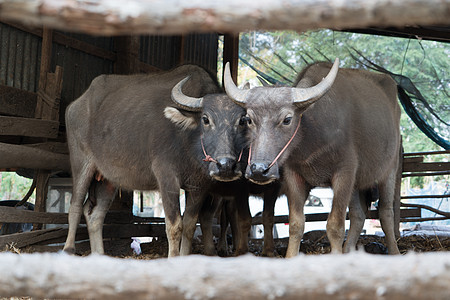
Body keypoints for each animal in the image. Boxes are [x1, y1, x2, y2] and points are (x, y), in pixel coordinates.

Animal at [224, 59, 400, 256]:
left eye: (287, 119)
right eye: (248, 119)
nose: (258, 170)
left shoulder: (344, 173)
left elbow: (335, 226)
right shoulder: (293, 176)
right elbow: (296, 224)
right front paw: (290, 256)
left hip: (390, 170)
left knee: (386, 213)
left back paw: (394, 251)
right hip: (356, 184)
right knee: (358, 216)